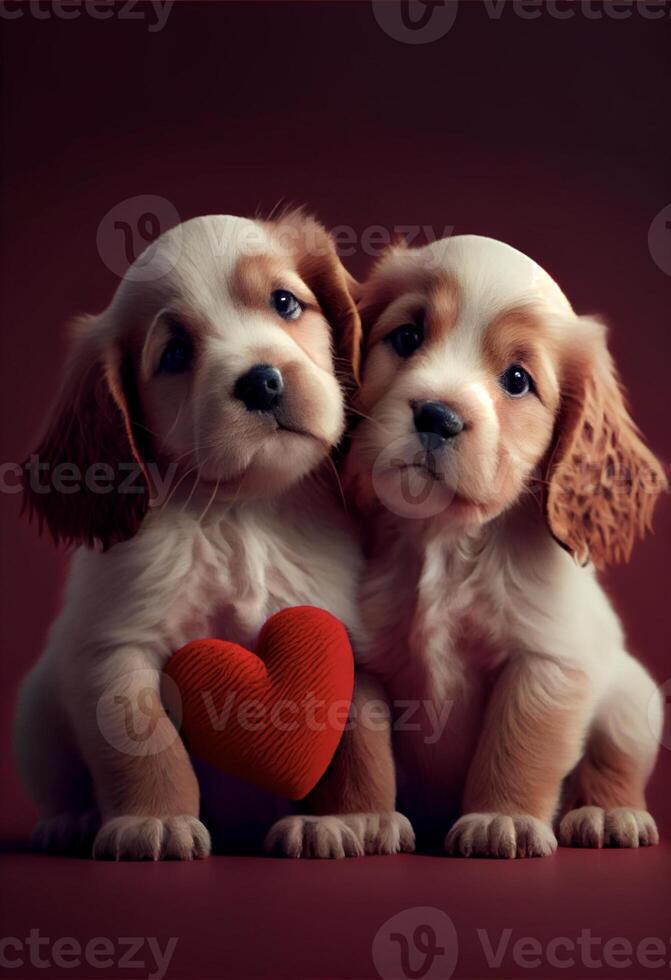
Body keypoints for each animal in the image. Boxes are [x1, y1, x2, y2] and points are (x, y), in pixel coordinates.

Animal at [14, 212, 368, 856]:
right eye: (176, 353)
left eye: (285, 302)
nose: (263, 382)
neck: (240, 516)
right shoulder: (117, 650)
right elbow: (145, 744)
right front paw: (154, 821)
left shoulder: (341, 635)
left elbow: (351, 738)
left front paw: (340, 821)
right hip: (36, 714)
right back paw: (70, 821)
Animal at [272, 232, 668, 856]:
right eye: (407, 337)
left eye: (517, 380)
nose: (438, 415)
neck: (443, 538)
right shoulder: (355, 660)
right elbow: (358, 749)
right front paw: (356, 820)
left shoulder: (546, 659)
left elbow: (519, 745)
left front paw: (502, 819)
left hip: (632, 698)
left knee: (615, 759)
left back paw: (609, 815)